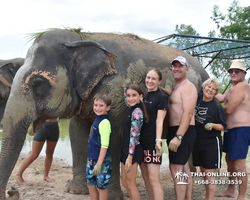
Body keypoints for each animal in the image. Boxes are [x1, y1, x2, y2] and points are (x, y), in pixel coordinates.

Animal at [0, 28, 209, 199]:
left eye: (38, 83)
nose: (12, 192)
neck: (80, 38)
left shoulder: (115, 89)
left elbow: (114, 136)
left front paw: (110, 195)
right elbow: (77, 132)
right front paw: (76, 191)